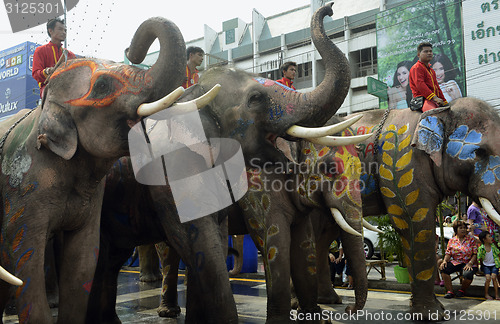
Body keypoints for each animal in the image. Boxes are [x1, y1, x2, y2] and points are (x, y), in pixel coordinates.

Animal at [328, 99, 500, 322]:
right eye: (480, 152)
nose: (349, 311)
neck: (440, 112)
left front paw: (435, 312)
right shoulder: (402, 168)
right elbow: (415, 225)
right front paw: (432, 315)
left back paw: (331, 300)